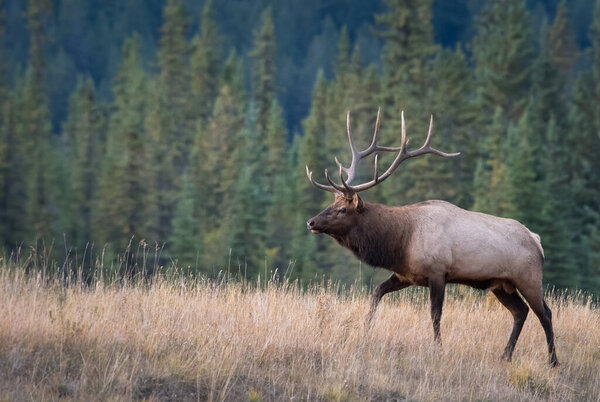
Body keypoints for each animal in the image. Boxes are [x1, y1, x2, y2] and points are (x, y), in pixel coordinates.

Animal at [308, 108, 560, 366]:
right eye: (332, 203)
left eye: (342, 209)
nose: (312, 222)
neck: (400, 241)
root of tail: (537, 241)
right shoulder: (406, 275)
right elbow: (376, 292)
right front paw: (366, 331)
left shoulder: (438, 272)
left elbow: (435, 314)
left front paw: (438, 348)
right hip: (501, 284)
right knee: (520, 311)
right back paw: (505, 355)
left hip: (528, 277)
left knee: (545, 313)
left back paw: (553, 360)